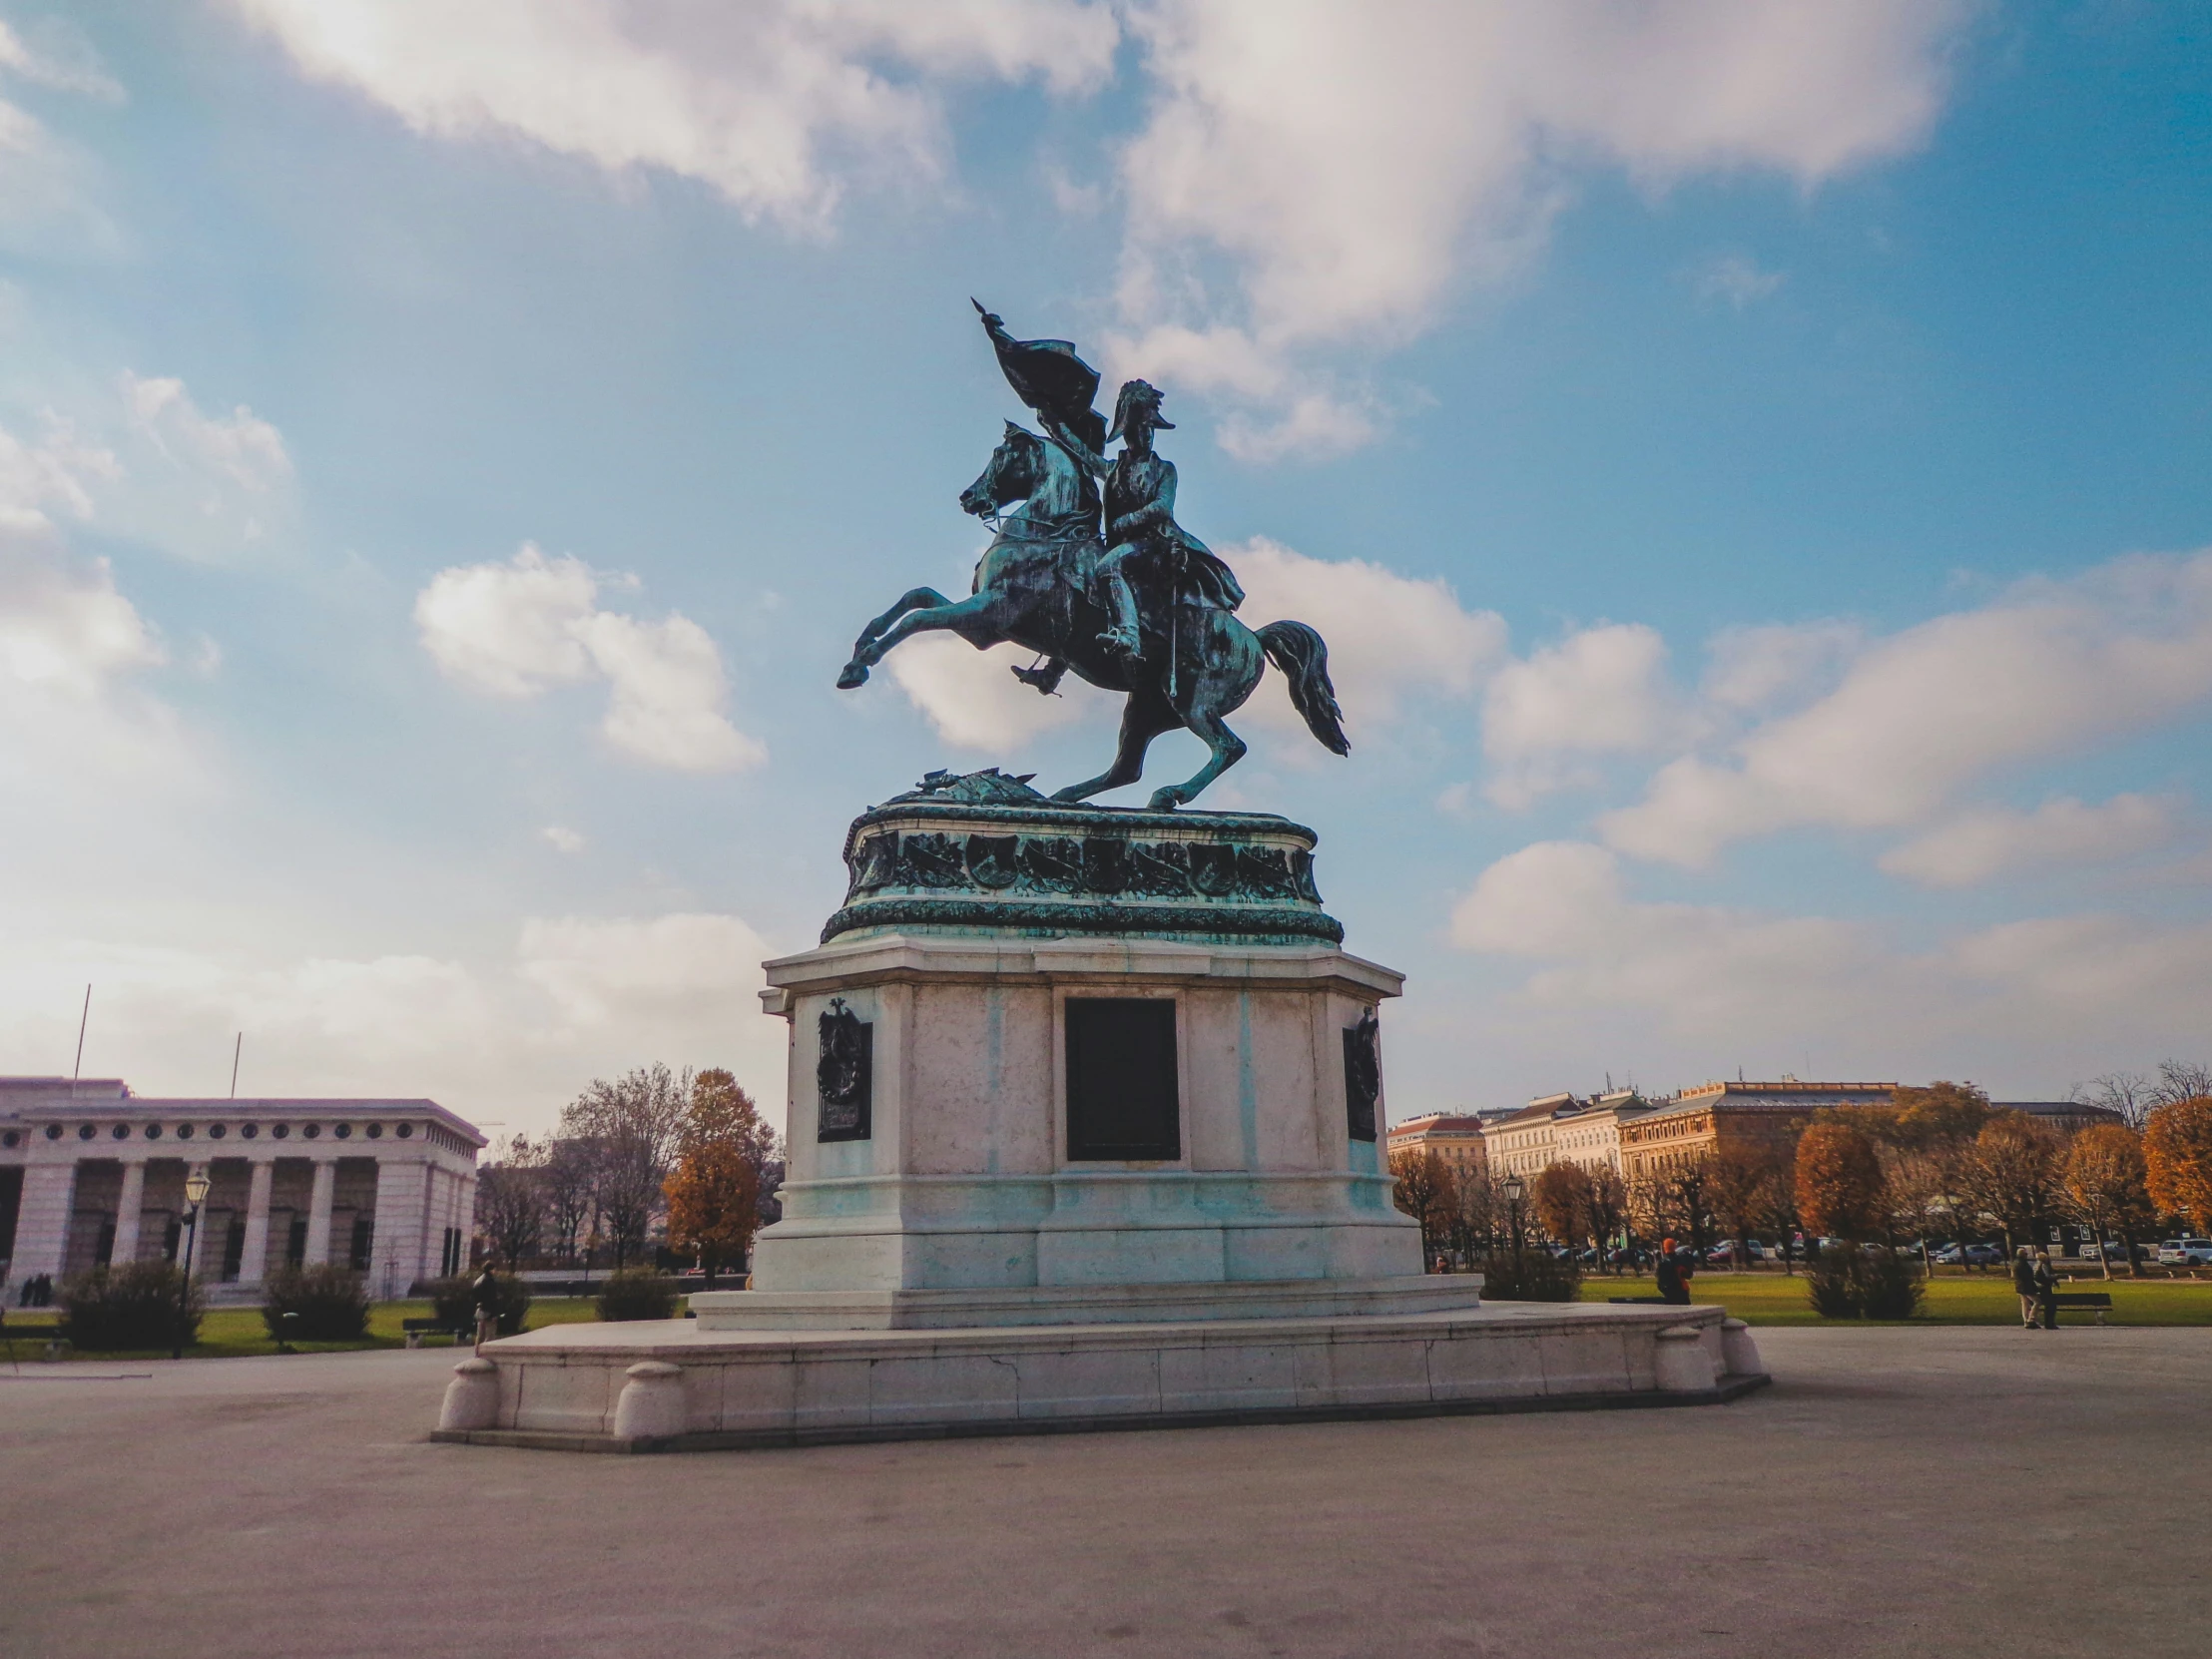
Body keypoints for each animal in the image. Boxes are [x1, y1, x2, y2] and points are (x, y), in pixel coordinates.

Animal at [831, 422, 1336, 814]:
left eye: (1000, 455)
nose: (968, 496)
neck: (1046, 535)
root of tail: (1253, 637)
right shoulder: (984, 624)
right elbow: (916, 597)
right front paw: (857, 652)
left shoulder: (990, 613)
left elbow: (917, 620)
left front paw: (864, 664)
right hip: (1147, 706)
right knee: (1126, 769)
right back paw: (1065, 796)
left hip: (1195, 701)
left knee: (1228, 747)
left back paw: (1168, 794)